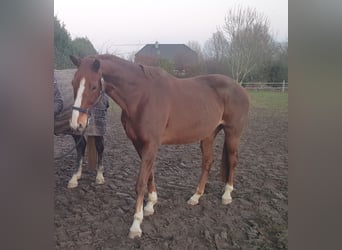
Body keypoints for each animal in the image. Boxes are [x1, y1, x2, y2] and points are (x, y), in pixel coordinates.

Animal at [69, 54, 248, 238]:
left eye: (93, 86)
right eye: (73, 83)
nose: (77, 124)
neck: (141, 96)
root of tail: (238, 87)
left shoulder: (151, 144)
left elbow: (140, 182)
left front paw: (136, 224)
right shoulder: (140, 144)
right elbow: (150, 174)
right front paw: (150, 205)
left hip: (233, 133)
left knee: (233, 160)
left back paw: (227, 195)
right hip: (208, 136)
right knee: (207, 163)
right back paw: (196, 197)